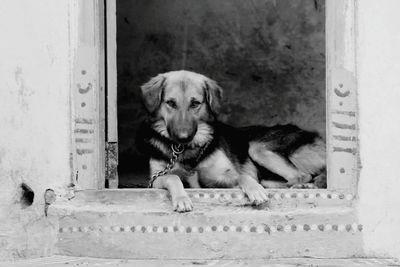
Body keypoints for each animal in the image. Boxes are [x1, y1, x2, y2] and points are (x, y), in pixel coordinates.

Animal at [136, 70, 326, 213]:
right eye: (170, 103)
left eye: (195, 103)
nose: (183, 136)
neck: (187, 150)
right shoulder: (155, 180)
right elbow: (174, 177)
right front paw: (182, 198)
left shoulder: (223, 175)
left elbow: (242, 175)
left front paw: (255, 190)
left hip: (257, 148)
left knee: (301, 175)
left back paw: (302, 187)